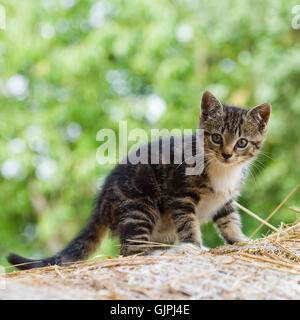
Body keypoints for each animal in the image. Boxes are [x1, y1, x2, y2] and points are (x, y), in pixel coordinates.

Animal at [7, 90, 272, 270]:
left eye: (242, 142)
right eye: (216, 137)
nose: (227, 154)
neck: (222, 170)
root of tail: (101, 199)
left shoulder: (225, 200)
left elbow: (229, 220)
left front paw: (241, 240)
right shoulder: (179, 194)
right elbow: (188, 222)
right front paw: (192, 247)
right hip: (138, 206)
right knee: (131, 251)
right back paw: (167, 253)